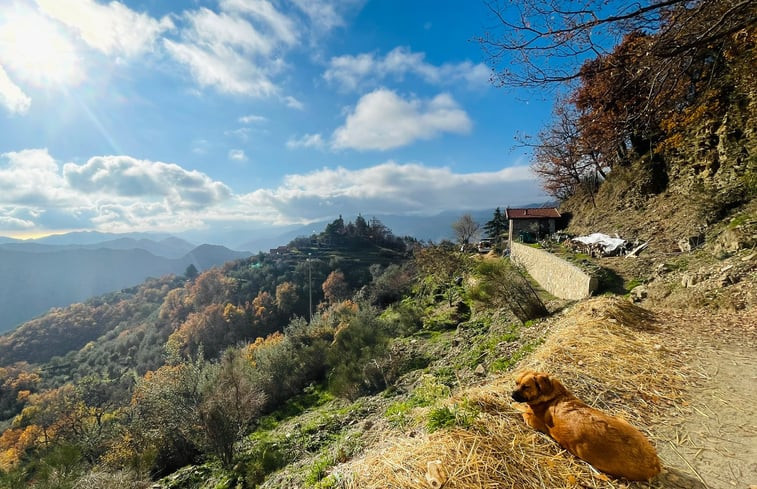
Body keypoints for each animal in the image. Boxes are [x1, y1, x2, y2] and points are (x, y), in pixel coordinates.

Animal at [510, 370, 660, 480]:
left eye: (526, 387)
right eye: (516, 383)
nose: (511, 394)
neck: (553, 396)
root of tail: (654, 464)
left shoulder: (531, 419)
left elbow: (522, 409)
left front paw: (512, 404)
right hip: (622, 420)